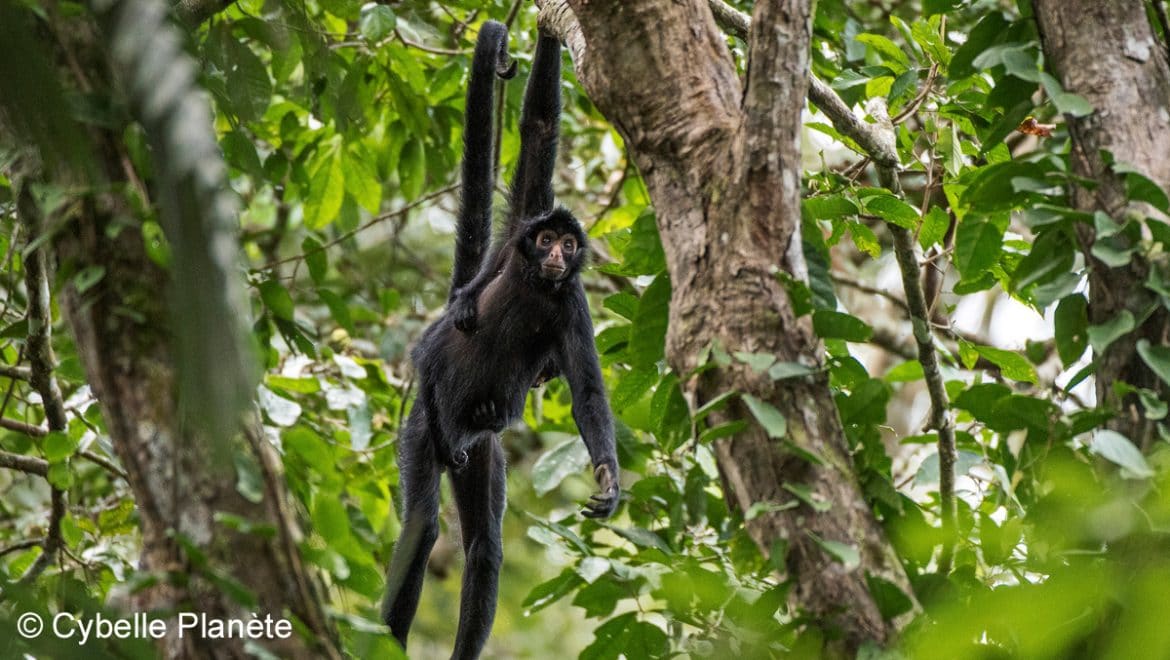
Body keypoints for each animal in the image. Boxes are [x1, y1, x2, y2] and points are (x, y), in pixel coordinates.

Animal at [381, 21, 622, 660]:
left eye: (570, 244)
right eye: (548, 241)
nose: (560, 253)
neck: (537, 285)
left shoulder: (571, 301)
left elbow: (588, 393)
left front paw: (609, 478)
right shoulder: (516, 241)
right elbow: (537, 131)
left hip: (484, 449)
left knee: (484, 550)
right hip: (424, 430)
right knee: (422, 525)